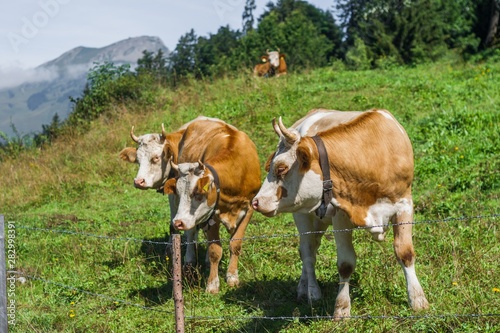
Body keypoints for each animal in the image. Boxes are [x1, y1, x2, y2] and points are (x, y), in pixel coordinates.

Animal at [163, 118, 262, 292]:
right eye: (179, 193)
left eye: (197, 193)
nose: (178, 222)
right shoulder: (212, 216)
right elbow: (215, 250)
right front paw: (212, 284)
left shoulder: (249, 208)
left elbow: (235, 244)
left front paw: (232, 276)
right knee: (191, 234)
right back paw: (190, 261)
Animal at [252, 109, 428, 320]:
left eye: (280, 168)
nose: (256, 202)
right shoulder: (340, 215)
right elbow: (345, 263)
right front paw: (342, 308)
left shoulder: (405, 205)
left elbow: (405, 252)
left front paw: (417, 299)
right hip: (302, 215)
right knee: (307, 251)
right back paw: (312, 292)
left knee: (310, 248)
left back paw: (303, 287)